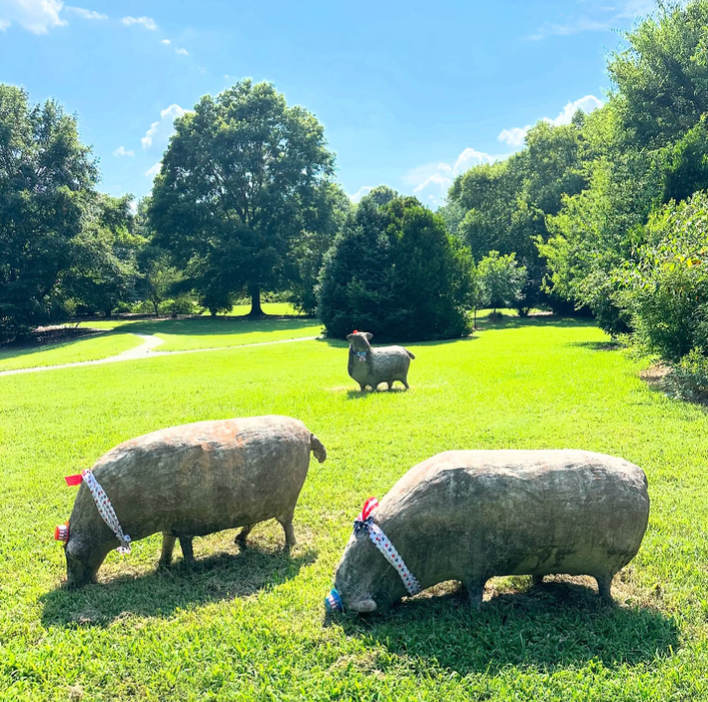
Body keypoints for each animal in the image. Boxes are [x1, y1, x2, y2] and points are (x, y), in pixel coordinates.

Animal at [61, 415, 326, 588]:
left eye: (73, 555)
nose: (70, 586)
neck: (109, 514)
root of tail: (308, 434)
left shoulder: (184, 524)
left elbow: (186, 547)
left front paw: (189, 568)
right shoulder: (171, 524)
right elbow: (167, 544)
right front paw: (162, 566)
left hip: (287, 500)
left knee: (287, 524)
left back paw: (289, 547)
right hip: (258, 504)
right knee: (251, 523)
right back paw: (239, 540)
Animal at [329, 450, 649, 613]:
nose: (338, 603)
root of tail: (639, 474)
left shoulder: (474, 568)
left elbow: (474, 593)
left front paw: (475, 610)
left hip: (605, 567)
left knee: (605, 585)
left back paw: (606, 602)